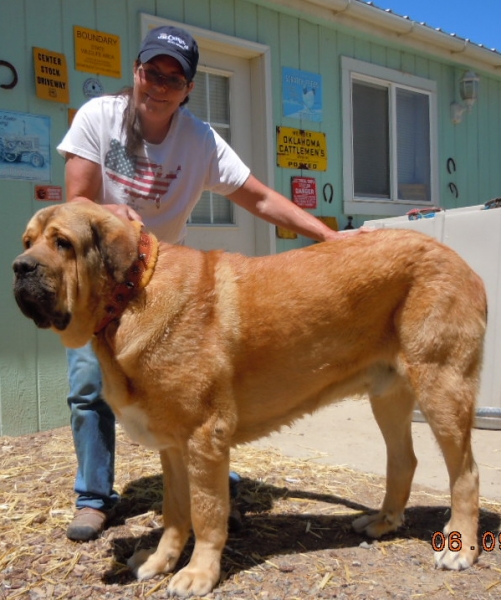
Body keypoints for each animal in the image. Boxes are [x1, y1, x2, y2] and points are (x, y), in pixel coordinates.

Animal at [14, 200, 484, 596]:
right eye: (27, 242)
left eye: (62, 242)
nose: (20, 267)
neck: (130, 295)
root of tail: (460, 260)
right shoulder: (173, 447)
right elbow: (175, 512)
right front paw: (161, 561)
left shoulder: (204, 438)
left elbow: (206, 514)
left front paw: (198, 574)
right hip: (388, 398)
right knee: (404, 461)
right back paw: (383, 522)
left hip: (442, 390)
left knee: (466, 473)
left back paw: (461, 548)